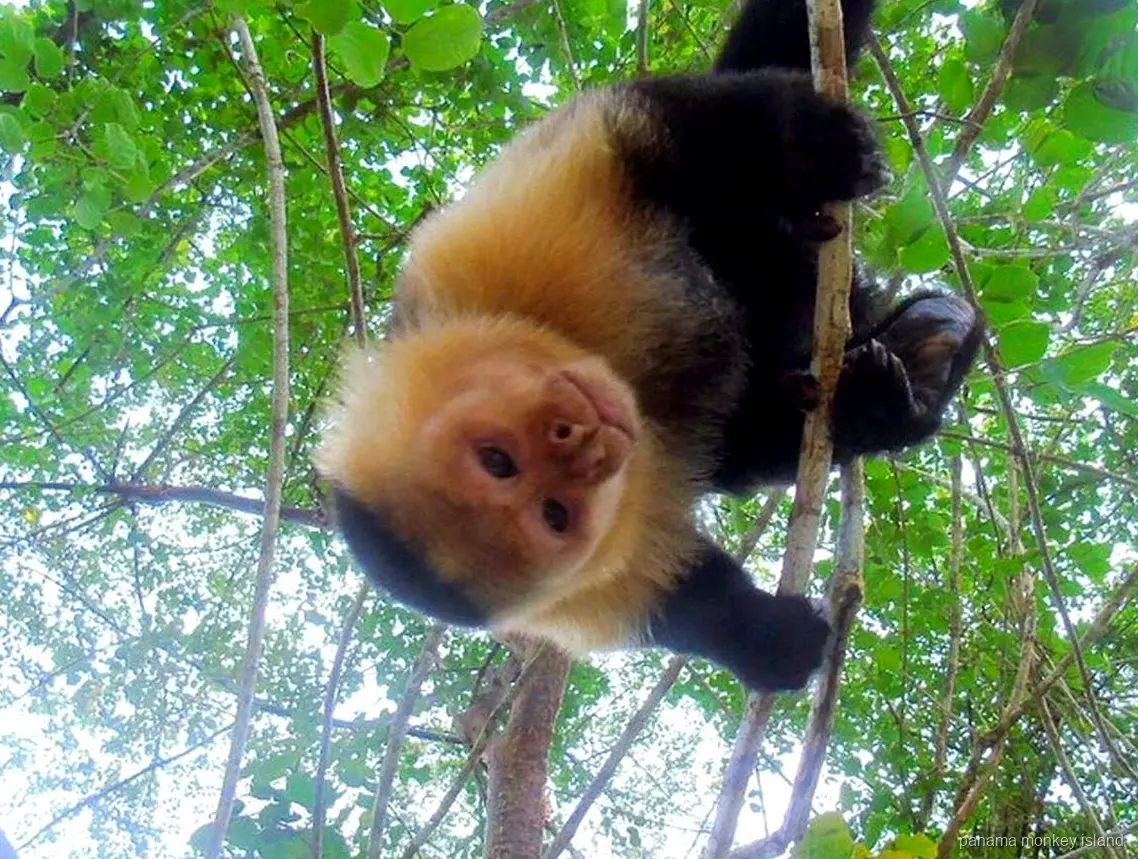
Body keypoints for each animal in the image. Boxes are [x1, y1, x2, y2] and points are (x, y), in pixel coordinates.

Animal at [315, 0, 982, 692]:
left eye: (496, 459)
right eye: (553, 513)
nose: (582, 445)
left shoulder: (493, 248)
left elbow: (668, 133)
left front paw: (802, 147)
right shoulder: (587, 588)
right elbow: (693, 591)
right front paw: (768, 639)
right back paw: (890, 389)